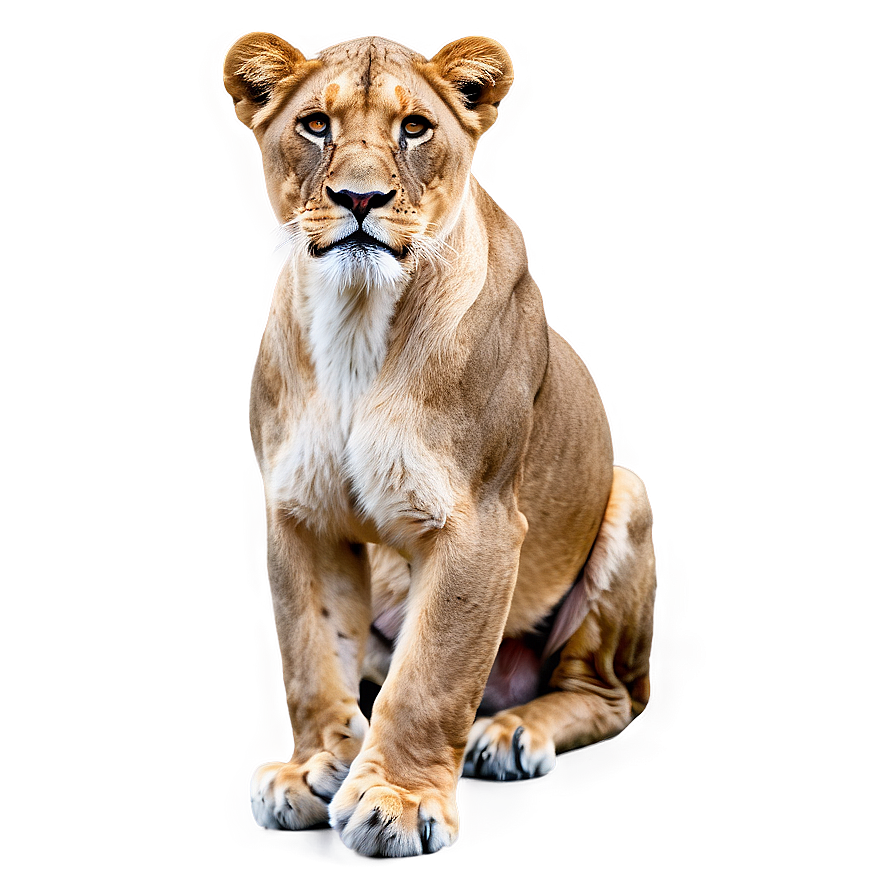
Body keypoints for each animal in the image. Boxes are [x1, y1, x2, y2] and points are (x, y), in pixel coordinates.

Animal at [223, 32, 656, 857]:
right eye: (317, 125)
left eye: (415, 128)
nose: (360, 200)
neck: (356, 319)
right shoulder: (301, 514)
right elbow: (312, 655)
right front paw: (315, 767)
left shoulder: (478, 522)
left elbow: (431, 678)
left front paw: (396, 801)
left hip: (631, 502)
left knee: (606, 695)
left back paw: (511, 736)